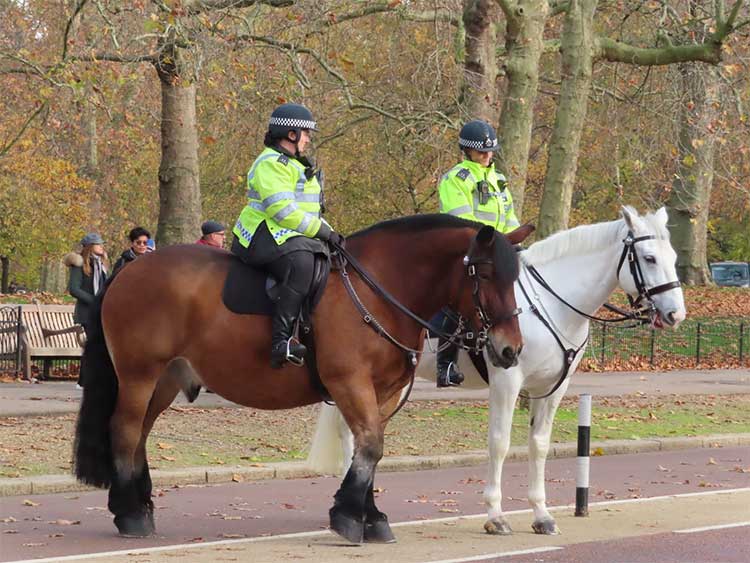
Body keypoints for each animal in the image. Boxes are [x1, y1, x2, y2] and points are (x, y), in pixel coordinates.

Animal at [70, 214, 528, 544]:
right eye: (487, 275)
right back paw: (130, 514)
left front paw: (370, 516)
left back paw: (138, 505)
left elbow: (372, 448)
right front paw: (348, 515)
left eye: (516, 276)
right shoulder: (350, 383)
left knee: (140, 435)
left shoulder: (382, 392)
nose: (511, 349)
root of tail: (130, 271)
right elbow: (370, 446)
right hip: (139, 374)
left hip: (164, 379)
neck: (379, 288)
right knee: (125, 432)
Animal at [306, 208, 688, 536]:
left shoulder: (553, 389)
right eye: (649, 258)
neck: (551, 305)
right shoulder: (508, 381)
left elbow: (539, 446)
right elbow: (500, 443)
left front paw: (541, 514)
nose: (676, 314)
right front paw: (495, 515)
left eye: (672, 258)